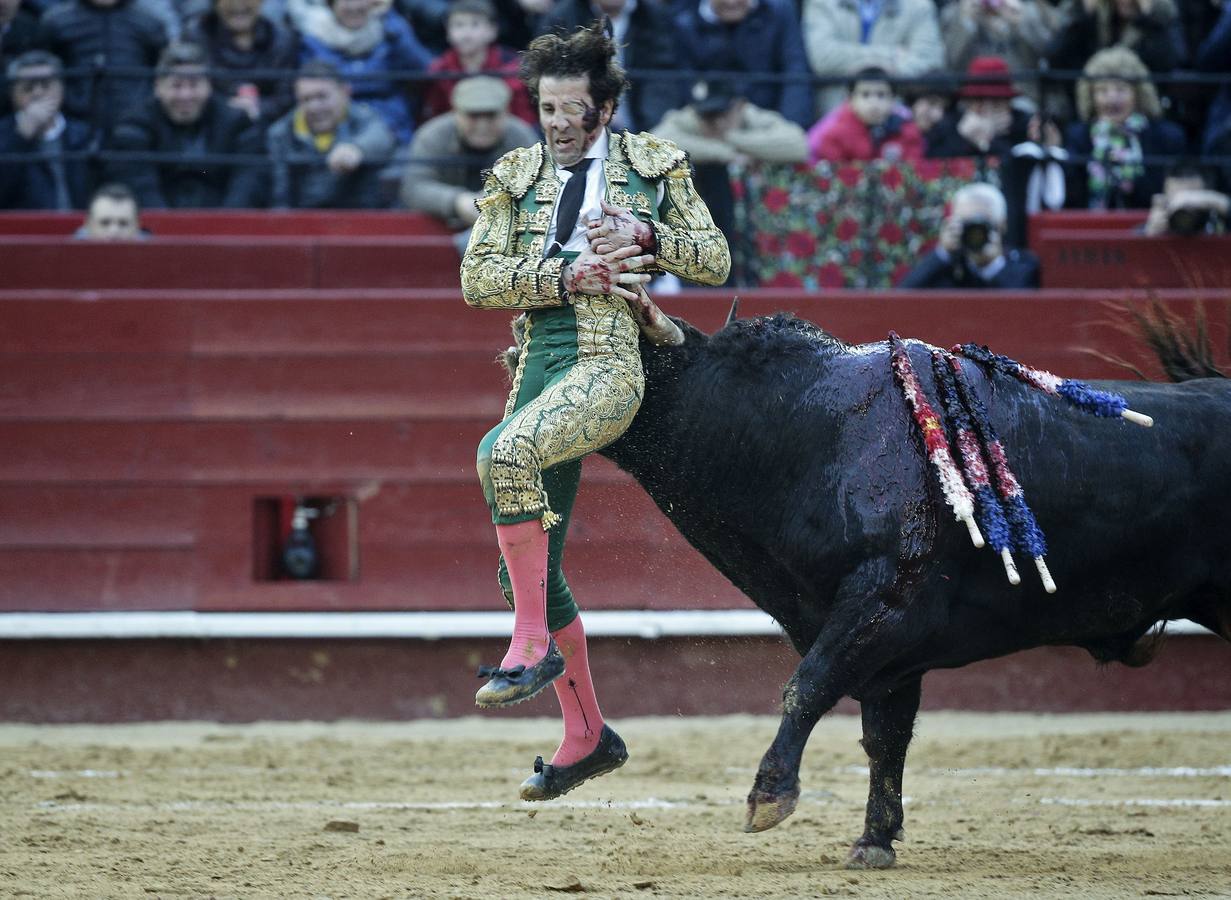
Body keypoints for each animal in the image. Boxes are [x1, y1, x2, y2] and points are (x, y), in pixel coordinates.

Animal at [581, 307, 1231, 866]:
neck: (805, 431)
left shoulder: (885, 601)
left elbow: (808, 686)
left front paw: (769, 797)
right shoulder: (888, 653)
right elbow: (884, 737)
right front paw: (874, 840)